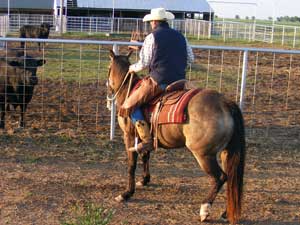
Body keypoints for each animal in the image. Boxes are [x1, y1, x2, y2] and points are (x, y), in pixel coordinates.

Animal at [106, 50, 245, 224]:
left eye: (108, 68)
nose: (108, 88)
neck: (128, 90)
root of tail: (225, 103)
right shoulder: (145, 140)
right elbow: (145, 156)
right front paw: (144, 180)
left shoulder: (129, 137)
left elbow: (132, 164)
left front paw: (126, 193)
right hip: (226, 153)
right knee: (231, 178)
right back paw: (226, 212)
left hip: (204, 155)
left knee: (220, 177)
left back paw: (204, 210)